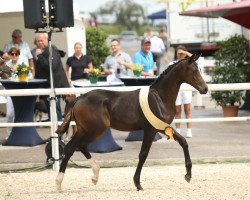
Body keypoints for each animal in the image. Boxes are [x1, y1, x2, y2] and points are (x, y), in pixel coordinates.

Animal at [55, 54, 208, 191]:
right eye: (194, 70)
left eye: (200, 69)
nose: (205, 88)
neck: (159, 97)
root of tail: (79, 99)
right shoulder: (150, 130)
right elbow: (143, 154)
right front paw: (138, 184)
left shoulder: (161, 127)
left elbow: (183, 142)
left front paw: (188, 175)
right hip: (95, 129)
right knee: (74, 147)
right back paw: (59, 183)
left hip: (84, 129)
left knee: (75, 146)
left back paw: (92, 177)